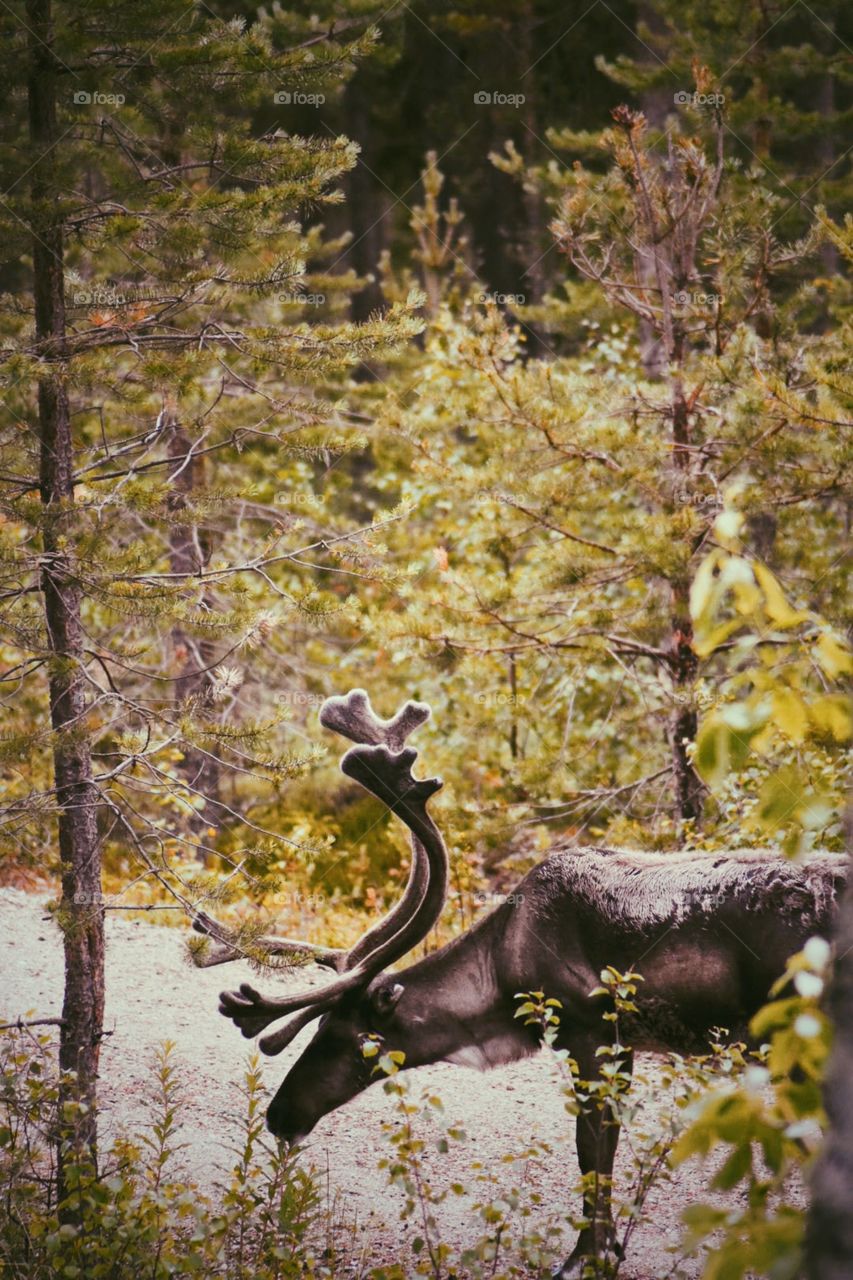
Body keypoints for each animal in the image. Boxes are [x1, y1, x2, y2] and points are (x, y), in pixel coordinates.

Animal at [196, 689, 844, 1277]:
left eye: (351, 1040)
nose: (280, 1117)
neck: (501, 972)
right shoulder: (625, 1045)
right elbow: (605, 1152)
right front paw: (607, 1251)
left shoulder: (588, 1033)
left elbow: (591, 1155)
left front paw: (585, 1260)